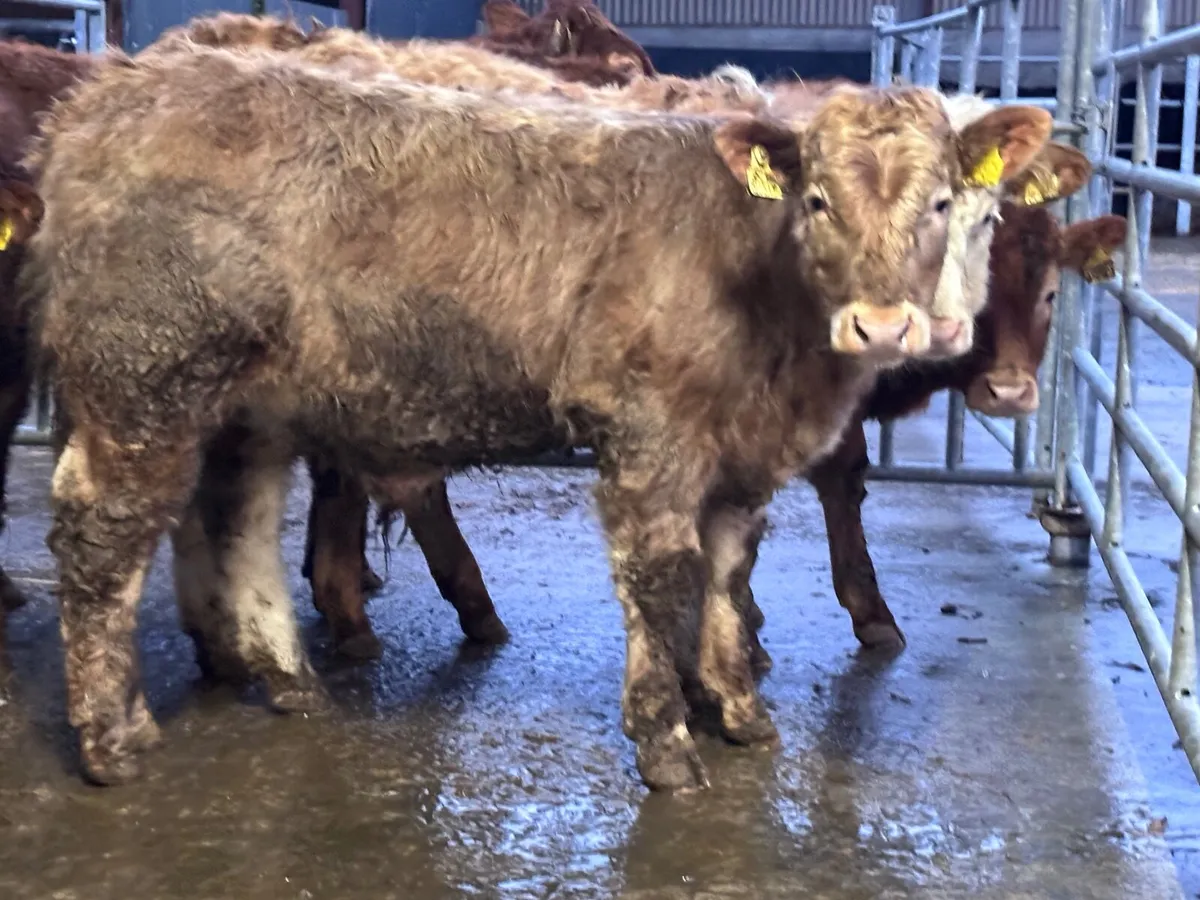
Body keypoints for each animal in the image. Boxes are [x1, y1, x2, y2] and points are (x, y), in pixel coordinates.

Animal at [25, 42, 1045, 790]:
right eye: (819, 199)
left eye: (947, 203)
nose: (887, 323)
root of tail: (108, 97)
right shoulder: (651, 433)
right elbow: (662, 578)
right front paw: (667, 741)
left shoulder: (744, 452)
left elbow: (728, 573)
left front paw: (740, 710)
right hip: (143, 379)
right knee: (102, 533)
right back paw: (115, 737)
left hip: (246, 402)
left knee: (235, 517)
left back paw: (287, 682)